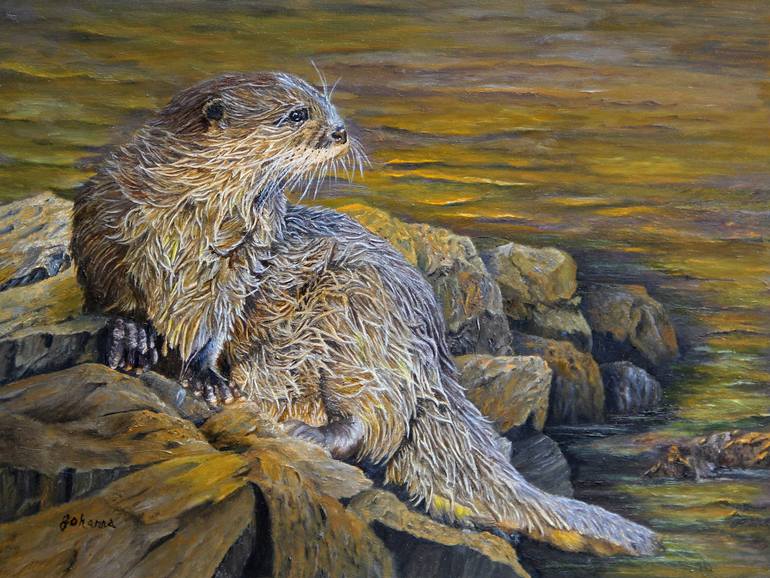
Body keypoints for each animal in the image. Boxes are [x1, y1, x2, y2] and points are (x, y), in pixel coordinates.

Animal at [71, 72, 659, 557]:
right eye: (296, 114)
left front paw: (205, 376)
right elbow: (110, 294)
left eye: (326, 105)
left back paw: (309, 433)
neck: (188, 228)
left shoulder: (241, 266)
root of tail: (435, 360)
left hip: (358, 322)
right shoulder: (102, 227)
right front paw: (130, 336)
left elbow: (216, 324)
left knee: (380, 419)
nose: (339, 132)